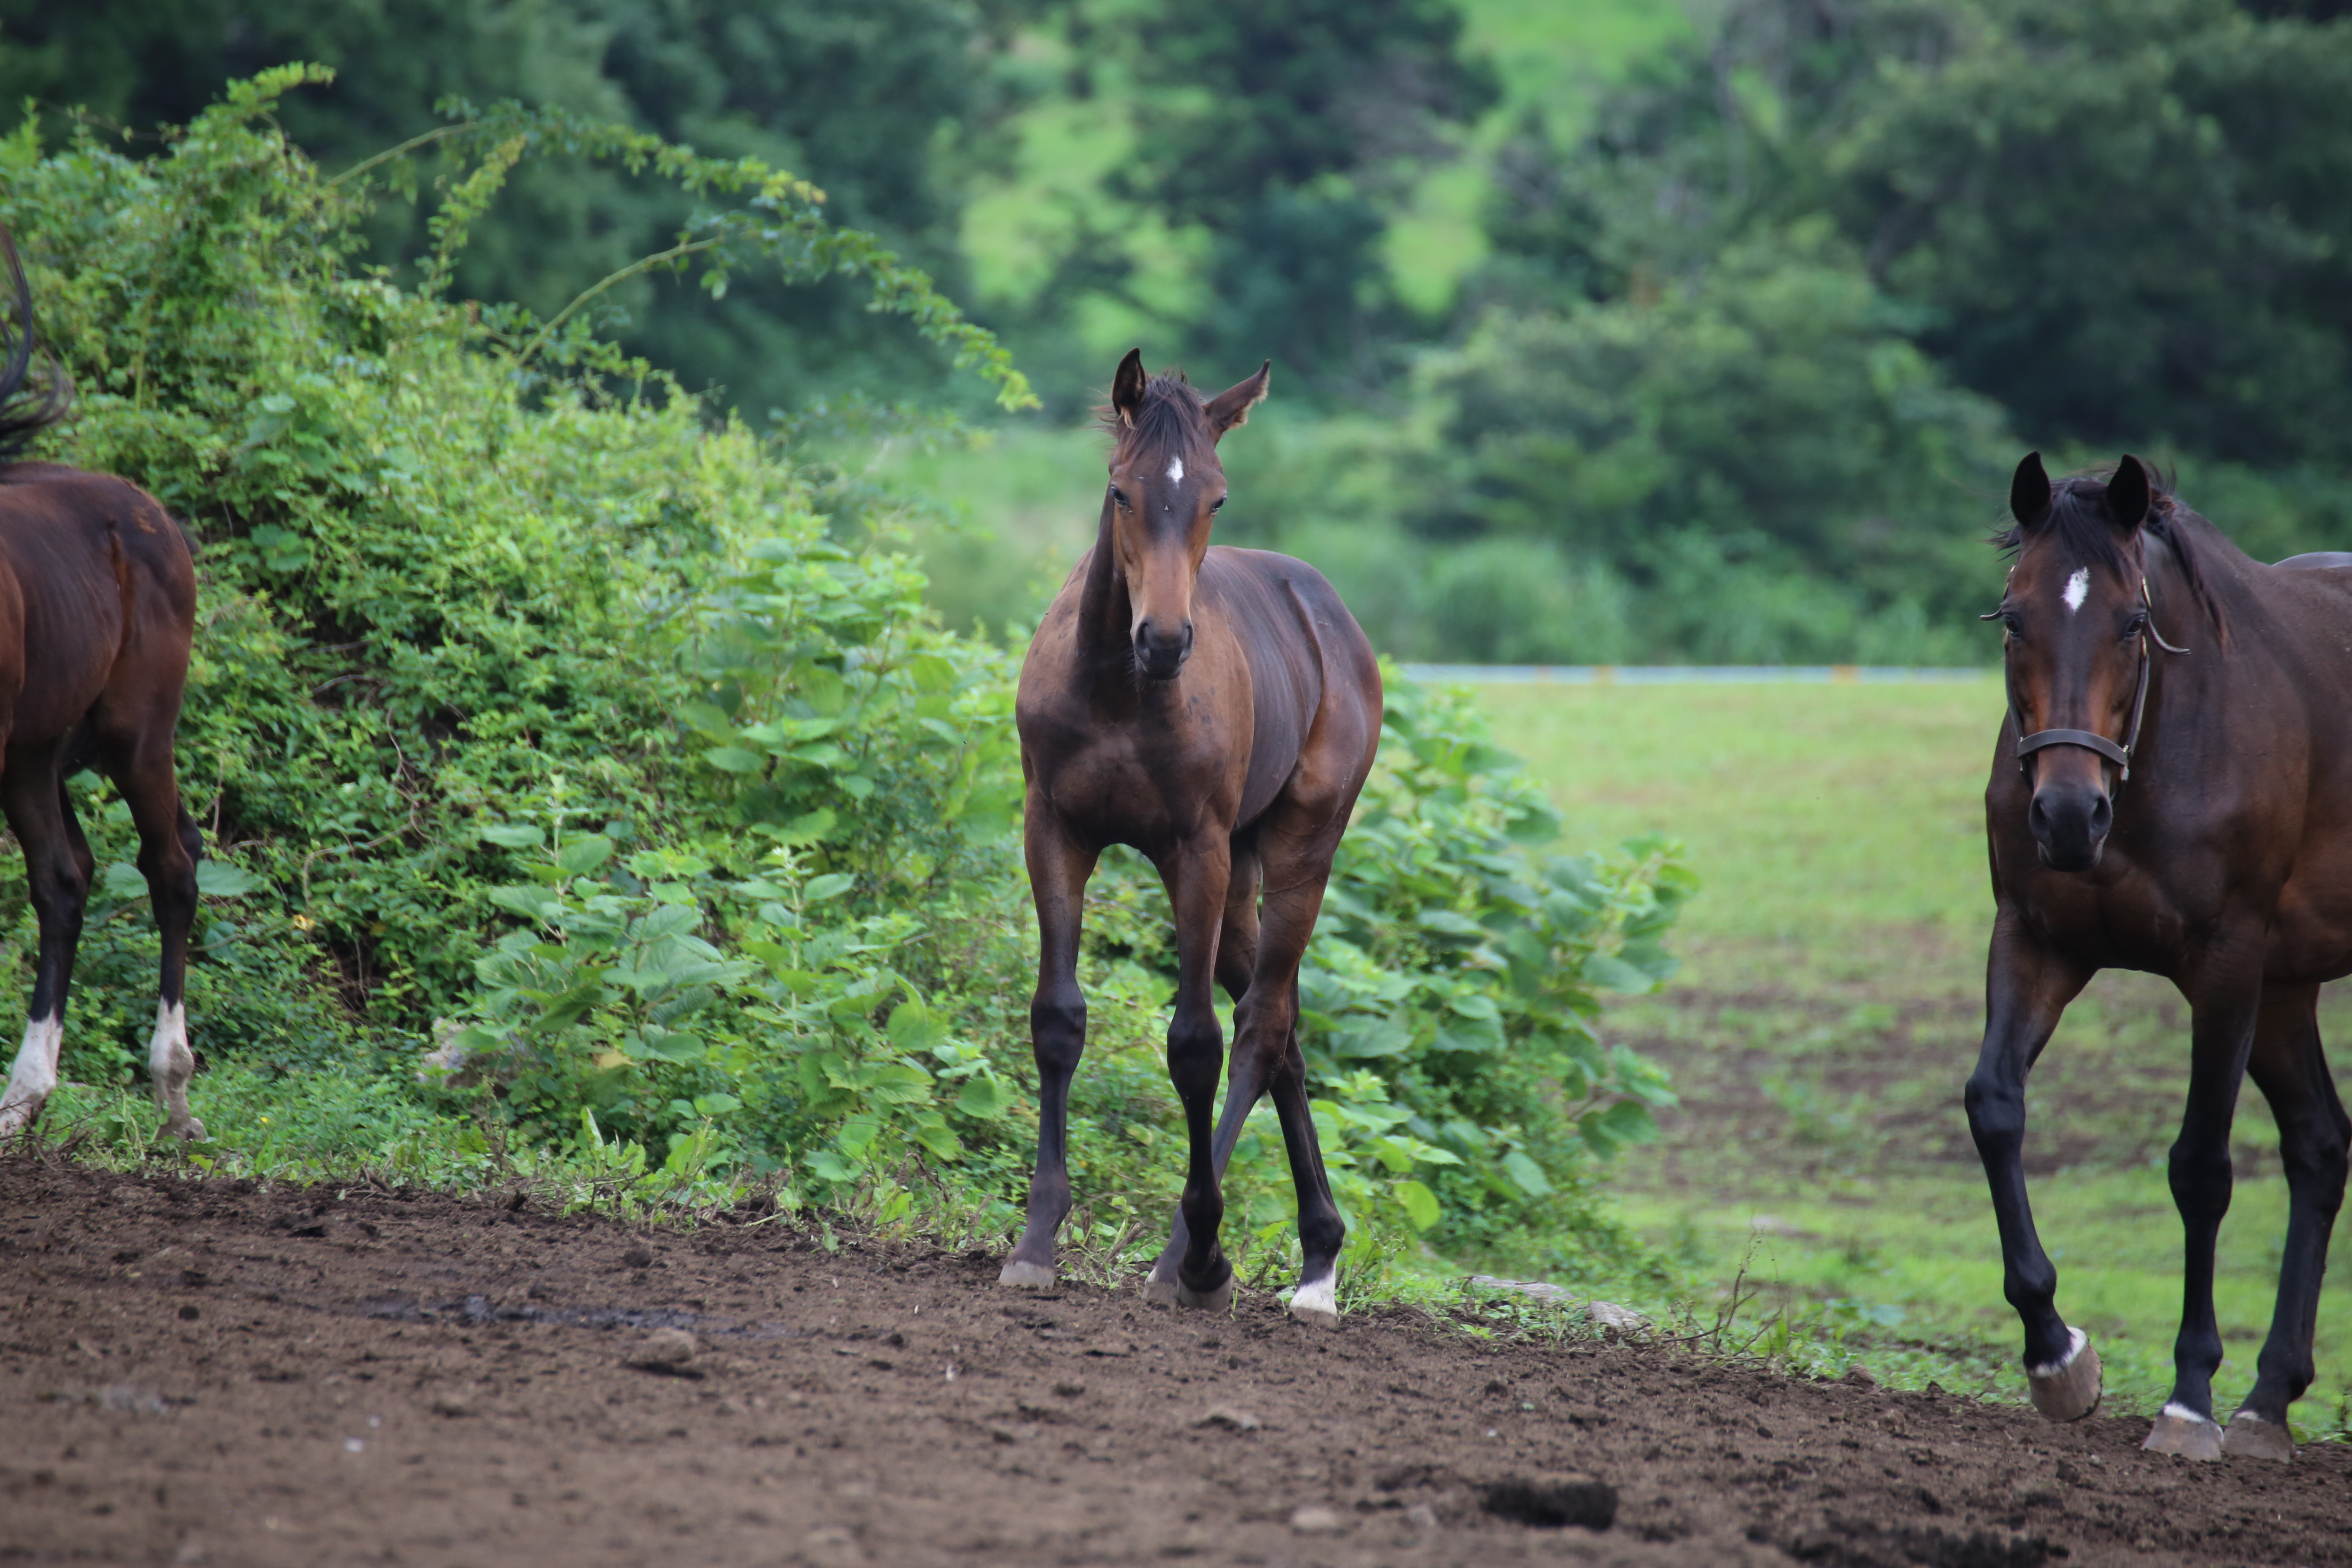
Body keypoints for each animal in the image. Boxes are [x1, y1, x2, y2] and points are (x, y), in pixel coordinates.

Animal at [1002, 352, 1383, 1326]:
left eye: (1215, 497)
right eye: (1122, 491)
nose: (1166, 640)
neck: (1116, 690)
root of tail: (1330, 616)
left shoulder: (1194, 851)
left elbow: (1194, 1045)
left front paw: (1204, 1254)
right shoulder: (1053, 830)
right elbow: (1058, 1018)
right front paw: (1036, 1241)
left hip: (1296, 852)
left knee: (1259, 1024)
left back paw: (1200, 1260)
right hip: (1241, 877)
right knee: (1281, 1028)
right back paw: (1318, 1253)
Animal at [1966, 454, 2352, 1457]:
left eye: (2133, 622)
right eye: (2013, 615)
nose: (2067, 816)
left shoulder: (2225, 966)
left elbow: (2201, 1168)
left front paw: (2189, 1397)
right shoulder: (2036, 939)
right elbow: (1995, 1107)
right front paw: (2057, 1354)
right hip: (2288, 988)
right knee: (2321, 1146)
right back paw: (2269, 1399)